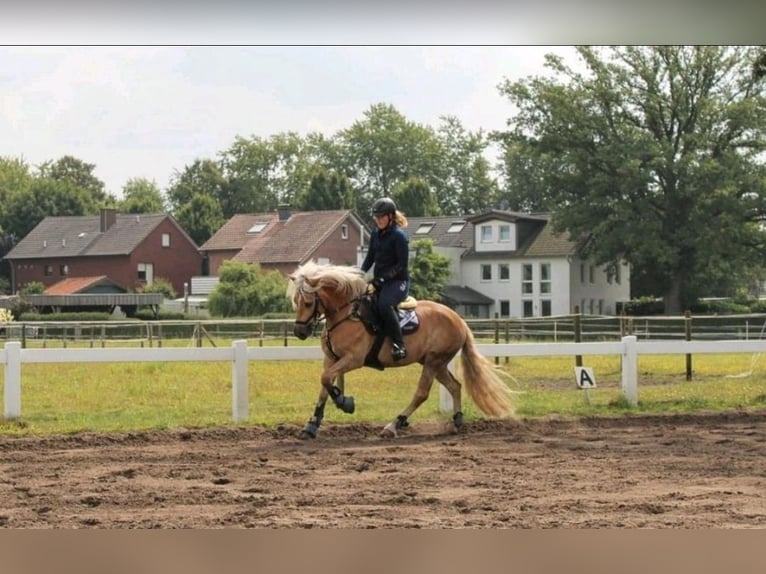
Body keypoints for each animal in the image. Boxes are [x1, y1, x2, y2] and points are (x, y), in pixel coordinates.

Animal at [286, 262, 516, 440]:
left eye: (308, 303)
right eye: (295, 302)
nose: (299, 332)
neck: (347, 314)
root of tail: (458, 319)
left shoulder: (352, 359)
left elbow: (327, 381)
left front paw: (345, 402)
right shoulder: (331, 359)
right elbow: (324, 385)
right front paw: (312, 425)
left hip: (433, 361)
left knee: (422, 393)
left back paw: (394, 425)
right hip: (436, 363)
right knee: (455, 386)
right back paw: (456, 422)